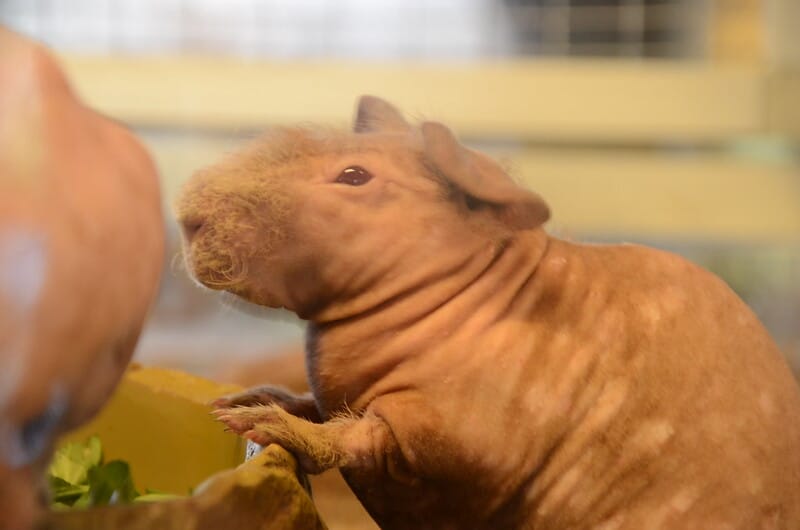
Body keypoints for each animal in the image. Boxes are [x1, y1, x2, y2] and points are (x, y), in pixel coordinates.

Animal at [177, 95, 800, 529]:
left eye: (354, 176)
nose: (187, 218)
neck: (455, 294)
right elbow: (319, 404)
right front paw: (252, 400)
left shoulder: (452, 438)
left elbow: (355, 435)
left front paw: (268, 424)